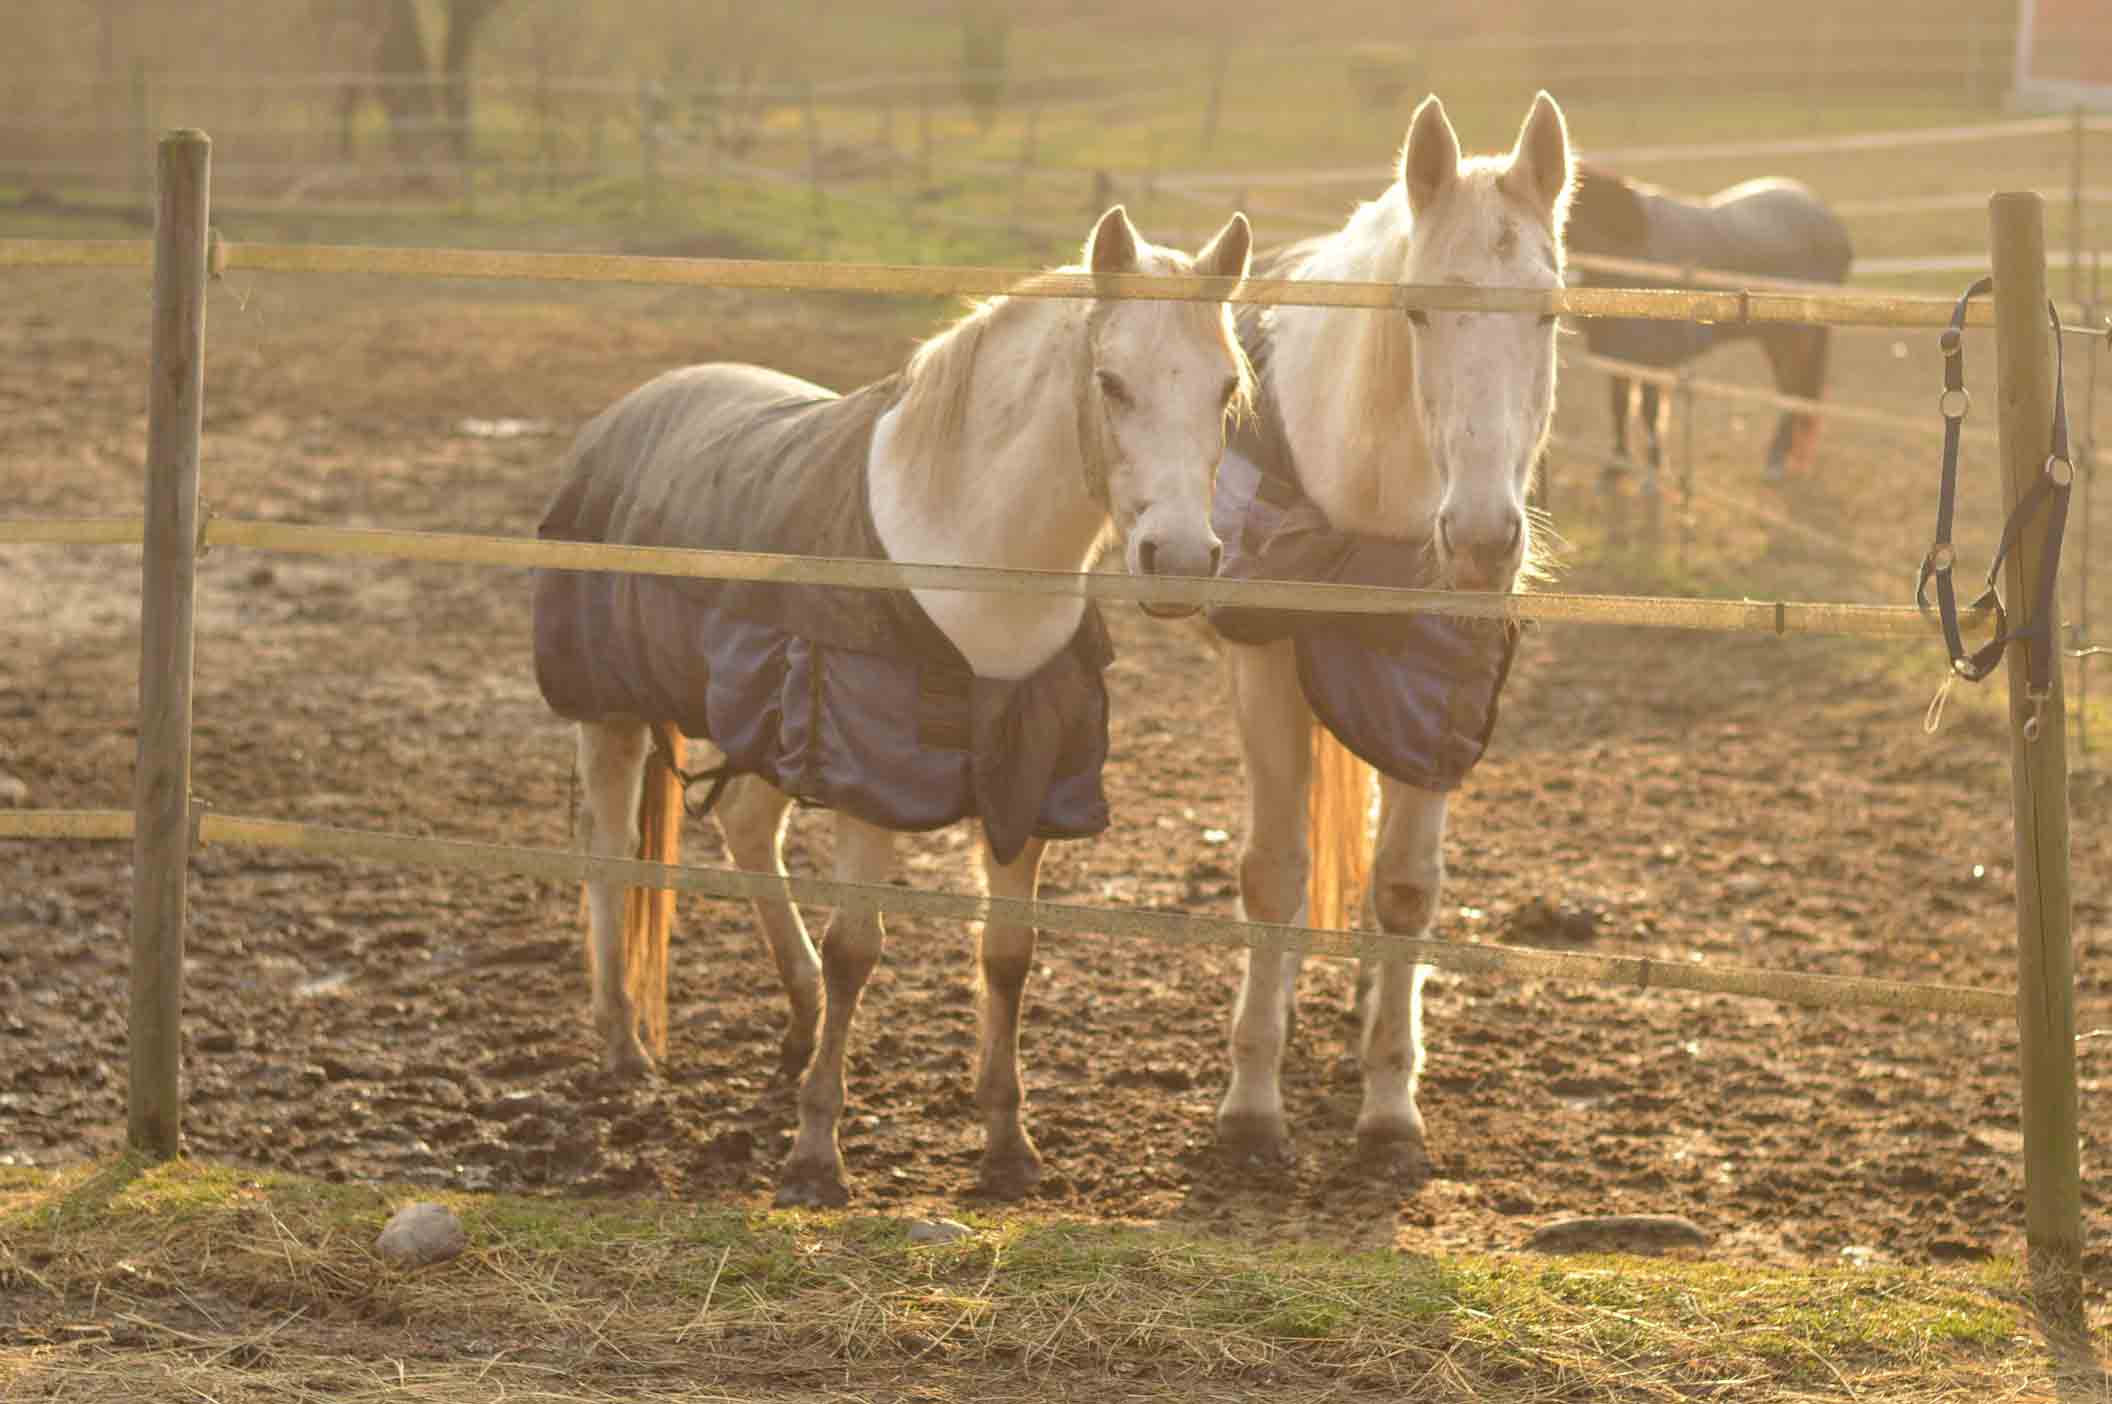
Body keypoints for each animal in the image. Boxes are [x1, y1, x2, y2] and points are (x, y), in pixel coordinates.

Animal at [531, 205, 1255, 1208]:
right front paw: (814, 1155)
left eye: (1226, 388)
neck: (964, 550)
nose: (1180, 559)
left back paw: (794, 1024)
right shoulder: (867, 778)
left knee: (747, 826)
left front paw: (1007, 1145)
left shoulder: (1027, 781)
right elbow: (857, 952)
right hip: (611, 714)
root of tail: (625, 413)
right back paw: (624, 1045)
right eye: (1111, 382)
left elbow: (1008, 954)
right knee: (607, 855)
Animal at [1205, 93, 1571, 1178]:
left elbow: (1405, 885)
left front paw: (1389, 1108)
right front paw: (1252, 1104)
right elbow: (1274, 870)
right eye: (1415, 310)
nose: (1485, 539)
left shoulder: (1437, 690)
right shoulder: (1265, 661)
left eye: (1548, 312)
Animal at [1564, 164, 1853, 479]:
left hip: (1795, 338)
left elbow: (1650, 413)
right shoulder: (1619, 357)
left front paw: (1654, 468)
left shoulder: (1651, 359)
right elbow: (1619, 406)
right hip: (1778, 340)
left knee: (1793, 392)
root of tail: (1827, 218)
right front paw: (1617, 465)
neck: (1628, 249)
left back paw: (1776, 461)